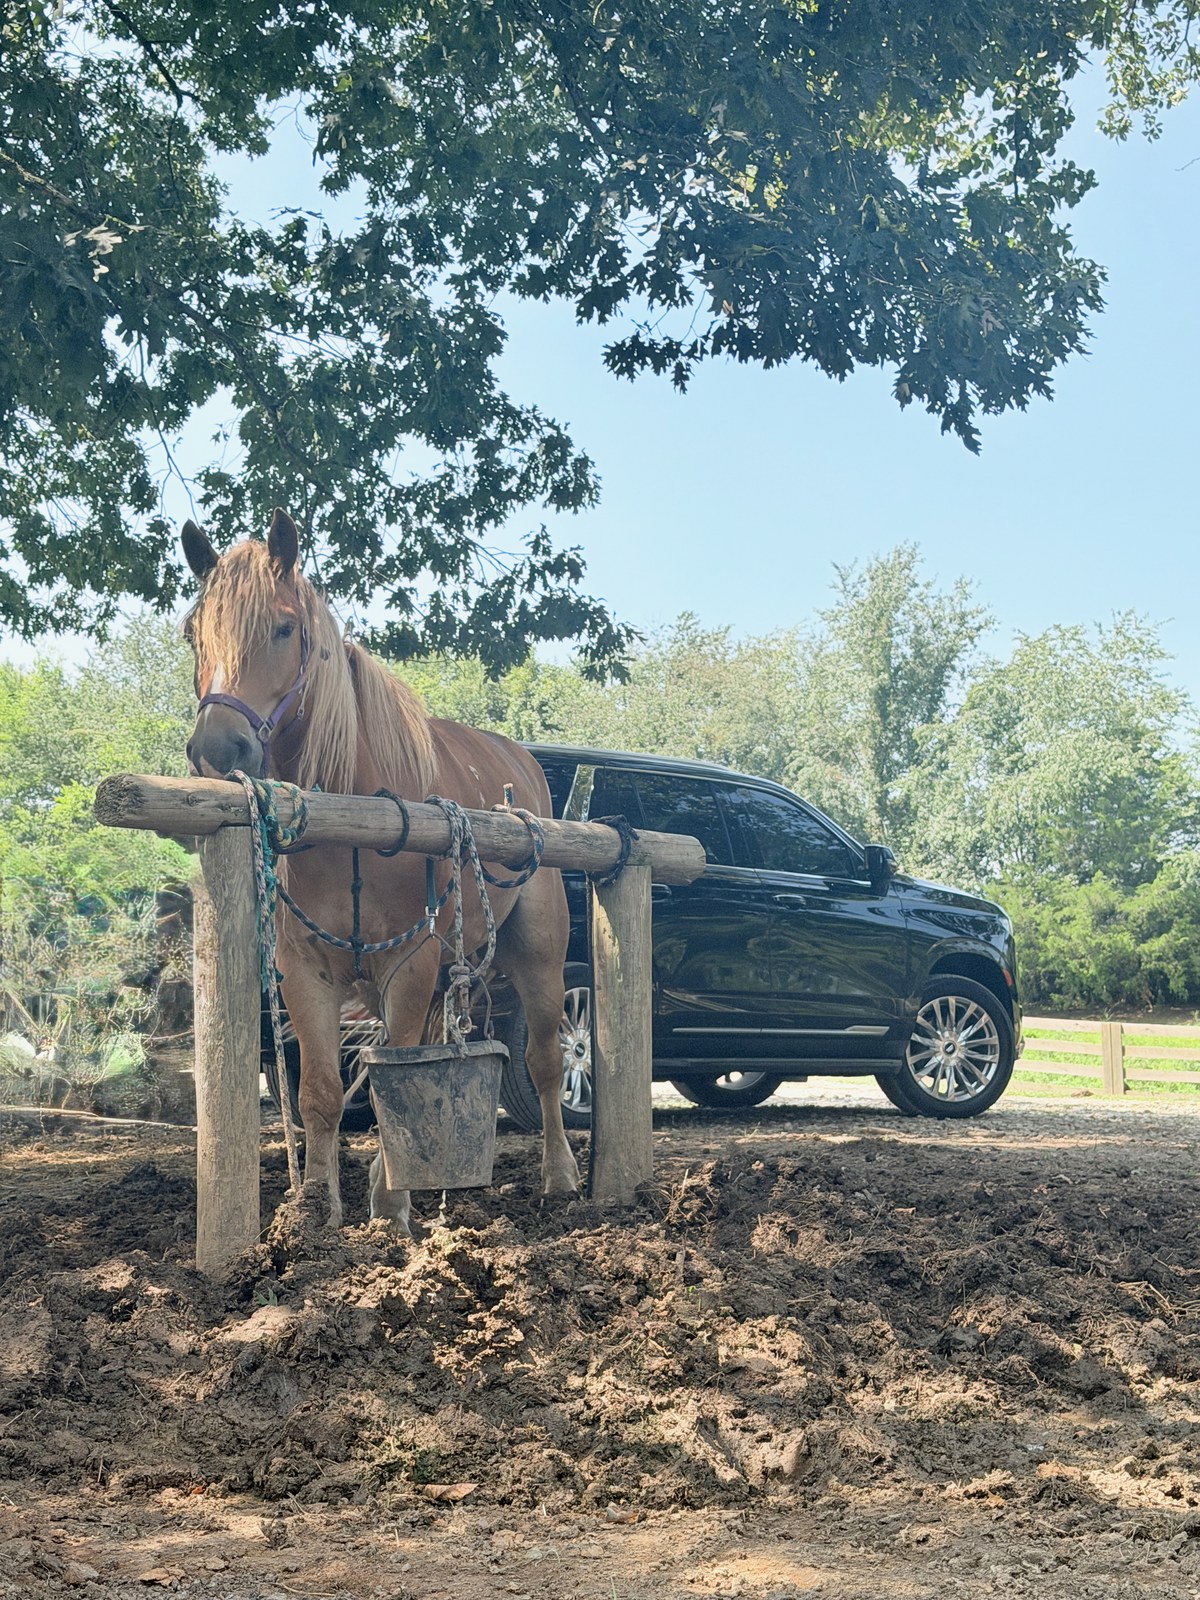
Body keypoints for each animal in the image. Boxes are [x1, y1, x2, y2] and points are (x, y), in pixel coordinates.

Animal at [181, 508, 580, 1230]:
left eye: (284, 627)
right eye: (194, 634)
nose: (217, 749)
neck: (351, 817)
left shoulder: (409, 961)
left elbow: (402, 1070)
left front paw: (392, 1207)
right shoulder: (305, 970)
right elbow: (321, 1092)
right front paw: (316, 1207)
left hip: (538, 955)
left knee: (541, 1061)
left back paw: (559, 1176)